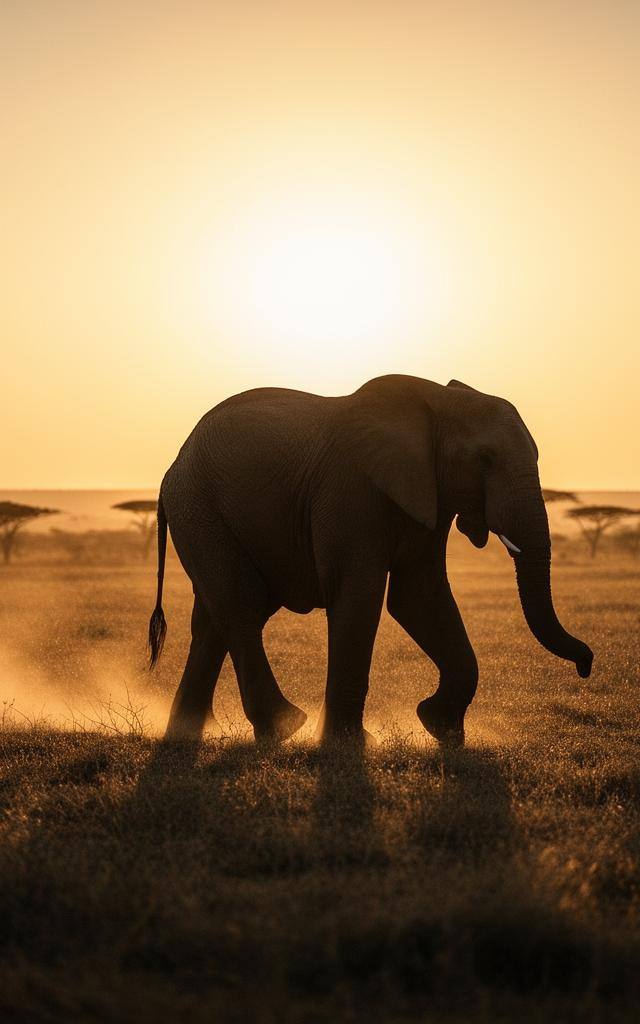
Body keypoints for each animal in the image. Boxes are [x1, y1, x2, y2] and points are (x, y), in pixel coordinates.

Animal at [149, 374, 593, 747]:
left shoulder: (430, 495)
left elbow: (420, 598)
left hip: (203, 514)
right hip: (199, 508)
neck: (437, 402)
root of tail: (172, 466)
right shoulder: (351, 491)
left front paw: (441, 730)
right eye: (484, 460)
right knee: (241, 608)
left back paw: (185, 734)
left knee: (213, 620)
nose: (586, 665)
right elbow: (359, 598)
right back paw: (282, 728)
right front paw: (348, 745)